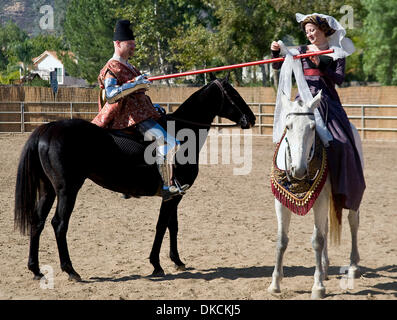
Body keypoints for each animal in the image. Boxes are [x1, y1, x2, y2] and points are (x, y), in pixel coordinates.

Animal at [14, 77, 254, 280]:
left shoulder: (175, 196)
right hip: (67, 190)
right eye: (233, 93)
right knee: (59, 224)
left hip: (48, 190)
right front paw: (156, 264)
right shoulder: (171, 196)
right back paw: (71, 270)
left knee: (38, 222)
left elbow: (172, 226)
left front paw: (177, 261)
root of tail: (47, 129)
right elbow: (161, 225)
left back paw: (36, 269)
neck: (183, 132)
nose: (251, 118)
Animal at [268, 91, 360, 298]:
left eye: (312, 127)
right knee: (325, 227)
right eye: (288, 126)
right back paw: (325, 268)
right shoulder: (281, 202)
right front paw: (275, 283)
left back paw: (353, 266)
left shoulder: (321, 201)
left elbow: (317, 240)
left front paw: (318, 286)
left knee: (353, 223)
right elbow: (281, 240)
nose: (299, 170)